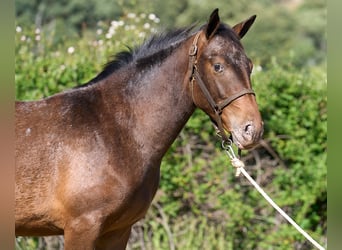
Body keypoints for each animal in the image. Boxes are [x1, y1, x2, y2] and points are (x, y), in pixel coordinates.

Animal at [14, 8, 264, 249]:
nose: (252, 130)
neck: (113, 132)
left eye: (250, 66)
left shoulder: (117, 231)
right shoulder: (82, 227)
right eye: (218, 66)